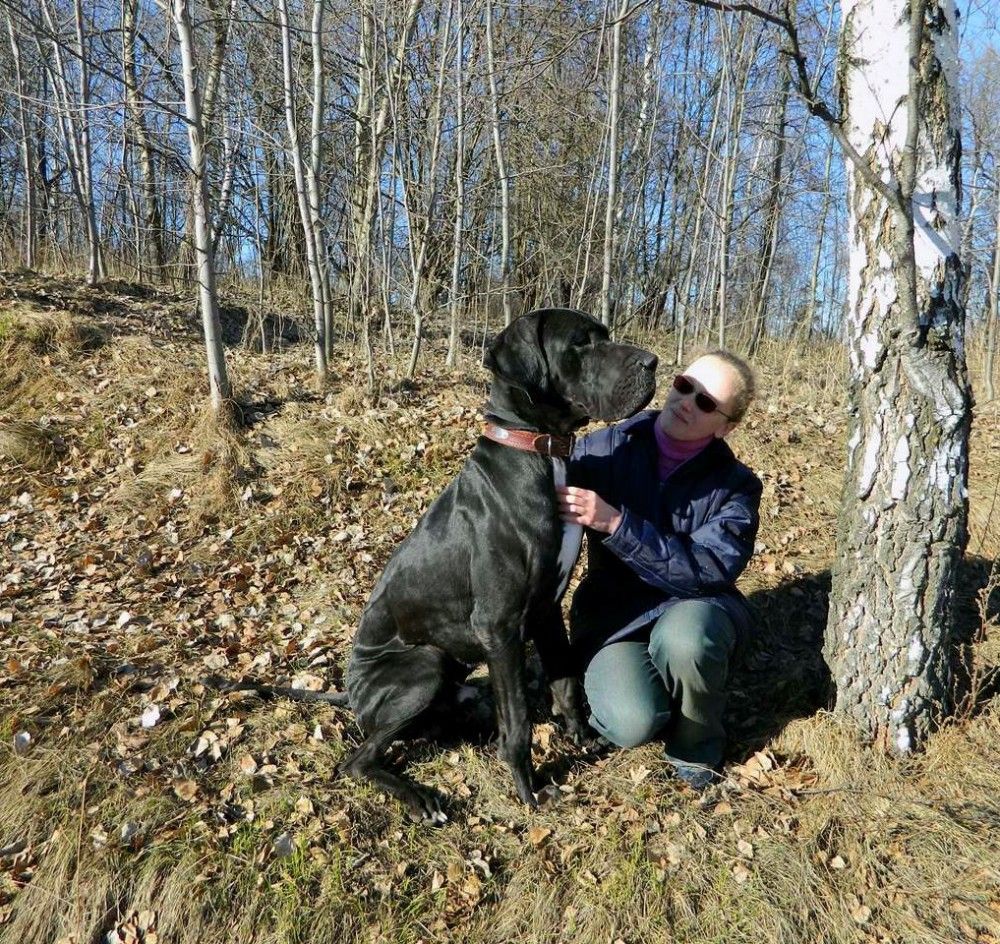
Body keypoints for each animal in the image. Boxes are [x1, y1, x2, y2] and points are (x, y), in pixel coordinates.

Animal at [337, 308, 657, 822]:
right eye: (581, 343)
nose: (653, 362)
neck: (539, 450)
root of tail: (350, 695)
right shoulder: (500, 626)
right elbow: (521, 722)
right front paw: (531, 791)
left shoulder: (546, 611)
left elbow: (566, 684)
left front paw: (582, 740)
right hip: (424, 665)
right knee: (360, 758)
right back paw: (421, 798)